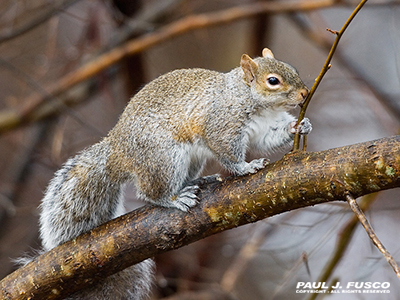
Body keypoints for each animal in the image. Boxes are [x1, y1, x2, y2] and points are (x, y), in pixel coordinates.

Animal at [38, 48, 312, 298]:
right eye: (273, 81)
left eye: (293, 69)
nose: (305, 93)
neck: (247, 96)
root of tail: (119, 153)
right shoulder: (222, 126)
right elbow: (228, 152)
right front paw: (246, 167)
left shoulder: (265, 127)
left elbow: (270, 137)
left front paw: (299, 125)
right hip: (165, 159)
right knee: (149, 192)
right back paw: (174, 198)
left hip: (189, 160)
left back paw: (199, 181)